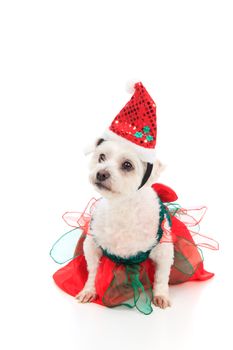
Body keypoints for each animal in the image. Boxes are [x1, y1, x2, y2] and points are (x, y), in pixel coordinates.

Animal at [75, 138, 174, 308]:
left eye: (127, 165)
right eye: (101, 156)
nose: (101, 173)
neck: (122, 207)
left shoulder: (164, 251)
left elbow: (161, 276)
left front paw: (161, 295)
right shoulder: (92, 245)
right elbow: (93, 271)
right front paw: (89, 290)